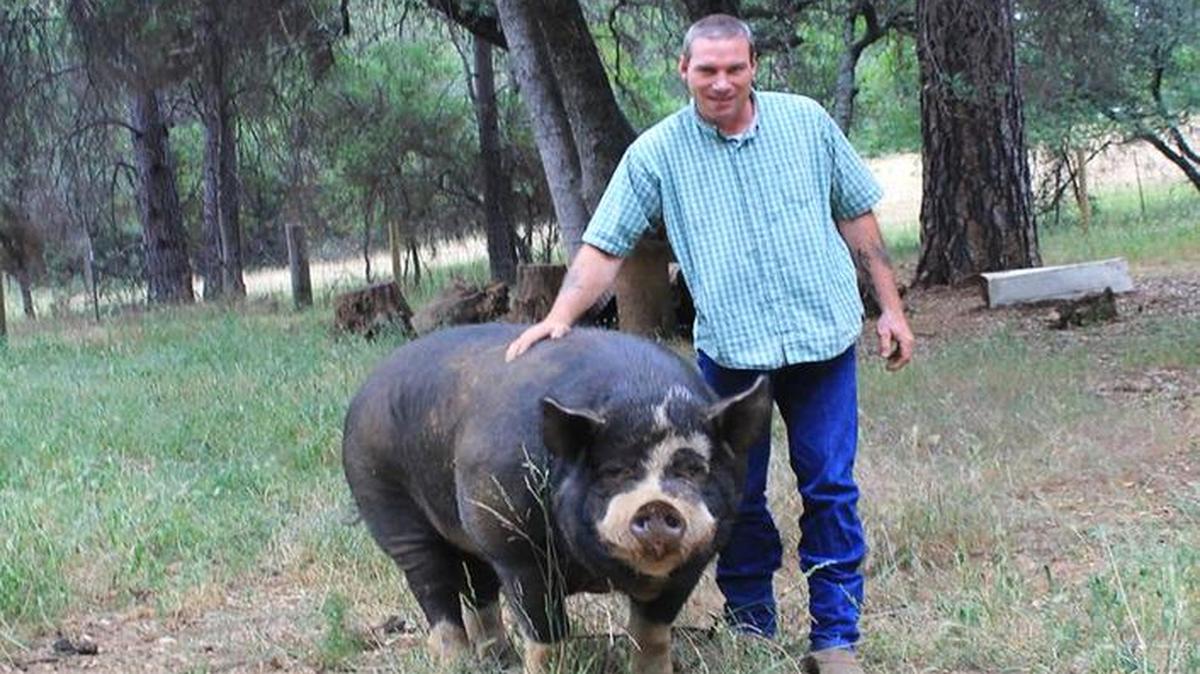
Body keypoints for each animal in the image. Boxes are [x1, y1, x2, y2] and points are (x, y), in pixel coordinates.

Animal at [342, 323, 770, 674]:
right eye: (613, 470)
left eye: (694, 469)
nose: (657, 505)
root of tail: (366, 389)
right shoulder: (517, 552)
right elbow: (546, 633)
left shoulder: (695, 562)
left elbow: (651, 633)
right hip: (388, 499)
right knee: (433, 586)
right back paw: (458, 663)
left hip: (471, 530)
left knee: (479, 586)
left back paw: (500, 661)